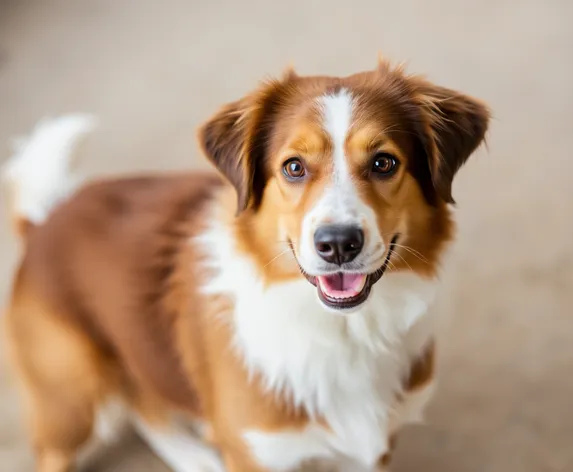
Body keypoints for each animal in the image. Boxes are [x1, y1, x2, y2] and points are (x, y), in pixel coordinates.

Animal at [2, 60, 490, 472]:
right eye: (293, 167)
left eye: (384, 162)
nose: (338, 245)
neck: (341, 331)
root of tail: (45, 221)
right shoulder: (261, 453)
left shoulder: (372, 451)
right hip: (71, 391)